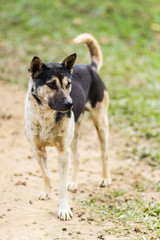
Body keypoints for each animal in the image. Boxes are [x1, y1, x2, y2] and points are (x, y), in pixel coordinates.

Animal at [25, 32, 110, 220]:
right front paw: (47, 191)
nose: (70, 104)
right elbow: (46, 174)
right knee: (77, 156)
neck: (46, 115)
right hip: (74, 135)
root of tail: (89, 67)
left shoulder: (63, 153)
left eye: (68, 84)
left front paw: (63, 209)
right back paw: (74, 182)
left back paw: (105, 179)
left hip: (100, 122)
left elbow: (61, 187)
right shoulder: (38, 149)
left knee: (104, 153)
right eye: (51, 84)